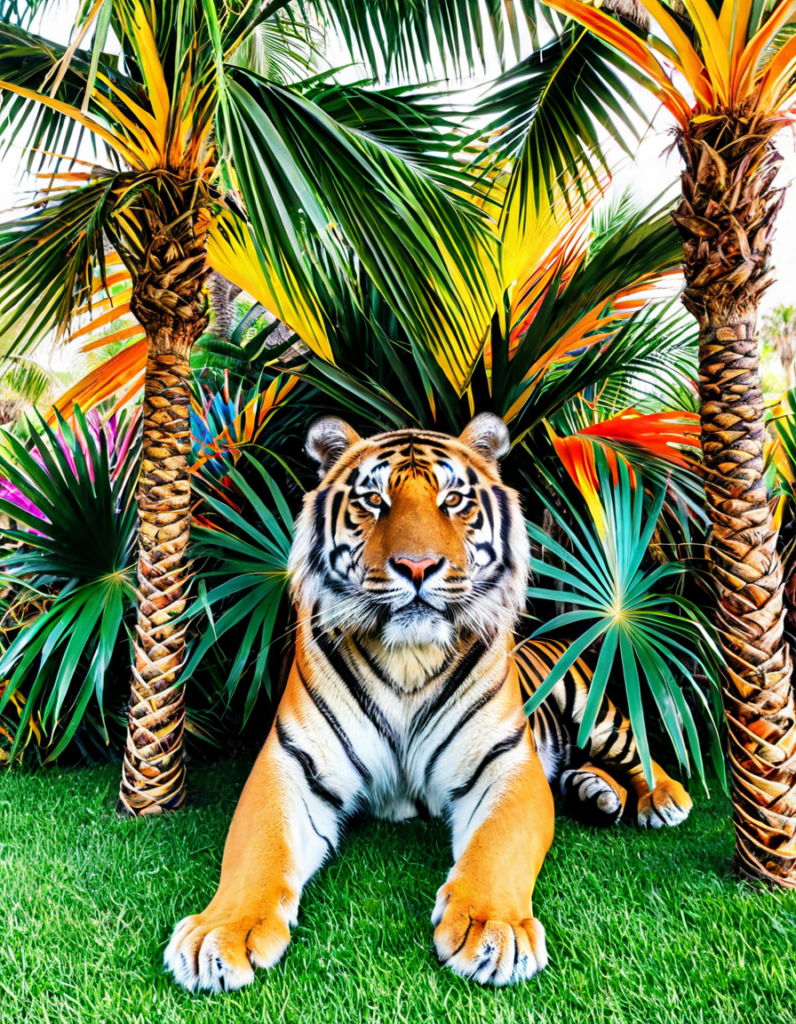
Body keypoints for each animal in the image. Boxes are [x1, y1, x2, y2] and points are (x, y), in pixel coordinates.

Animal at [164, 414, 692, 993]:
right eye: (373, 500)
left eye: (454, 499)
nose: (417, 567)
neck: (407, 658)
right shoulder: (293, 763)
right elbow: (259, 848)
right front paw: (221, 933)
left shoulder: (504, 761)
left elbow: (497, 844)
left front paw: (491, 928)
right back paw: (596, 793)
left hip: (591, 711)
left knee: (638, 752)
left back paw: (663, 798)